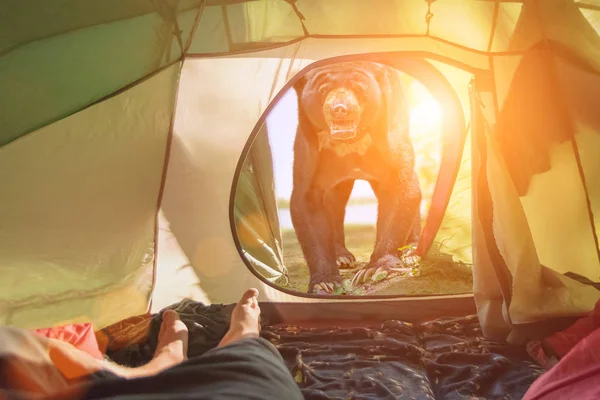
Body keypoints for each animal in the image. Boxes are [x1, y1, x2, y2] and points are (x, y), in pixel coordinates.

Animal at [290, 61, 422, 294]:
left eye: (359, 89)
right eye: (324, 90)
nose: (340, 109)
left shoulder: (390, 124)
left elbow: (401, 186)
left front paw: (374, 270)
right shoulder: (309, 142)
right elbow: (308, 200)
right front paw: (325, 283)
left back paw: (412, 249)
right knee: (334, 201)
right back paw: (342, 257)